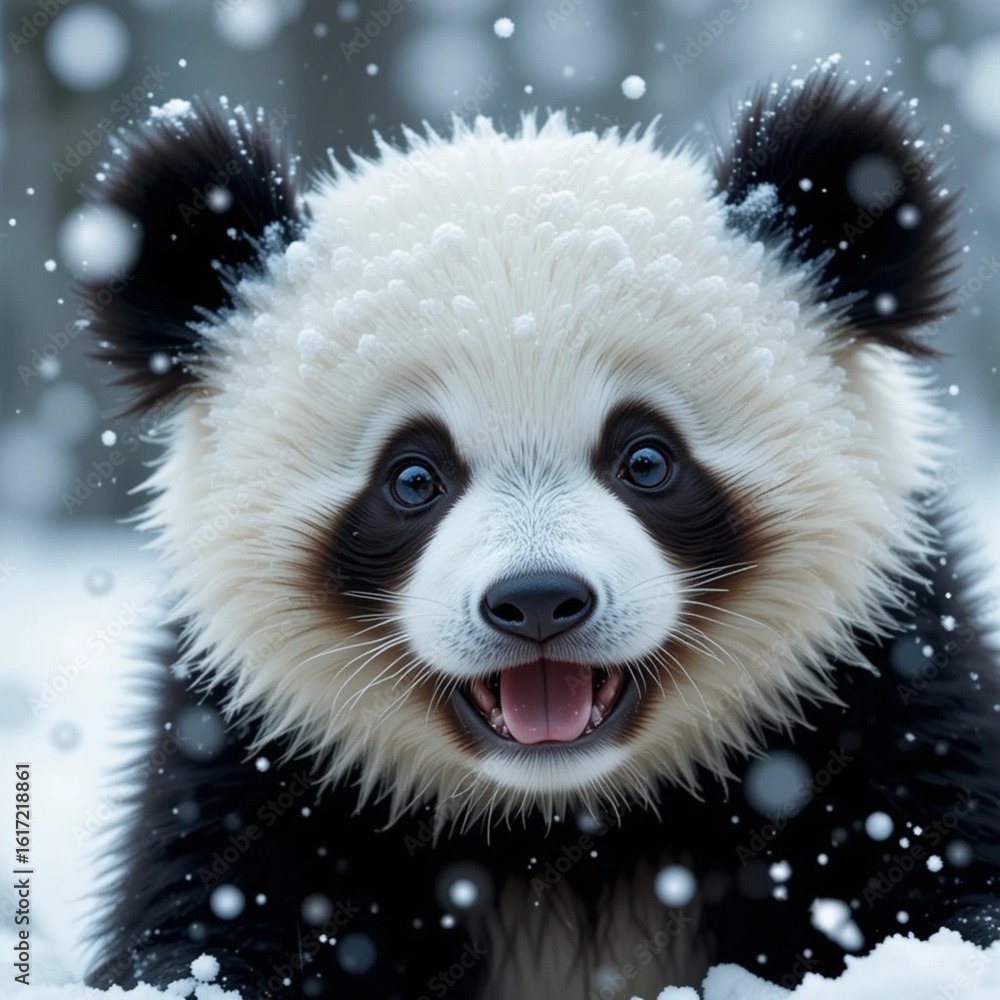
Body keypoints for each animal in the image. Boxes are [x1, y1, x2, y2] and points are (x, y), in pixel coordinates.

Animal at [83, 66, 1000, 1000]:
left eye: (646, 459)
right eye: (412, 478)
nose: (537, 601)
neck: (562, 817)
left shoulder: (872, 694)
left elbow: (936, 867)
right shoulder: (261, 754)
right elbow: (211, 921)